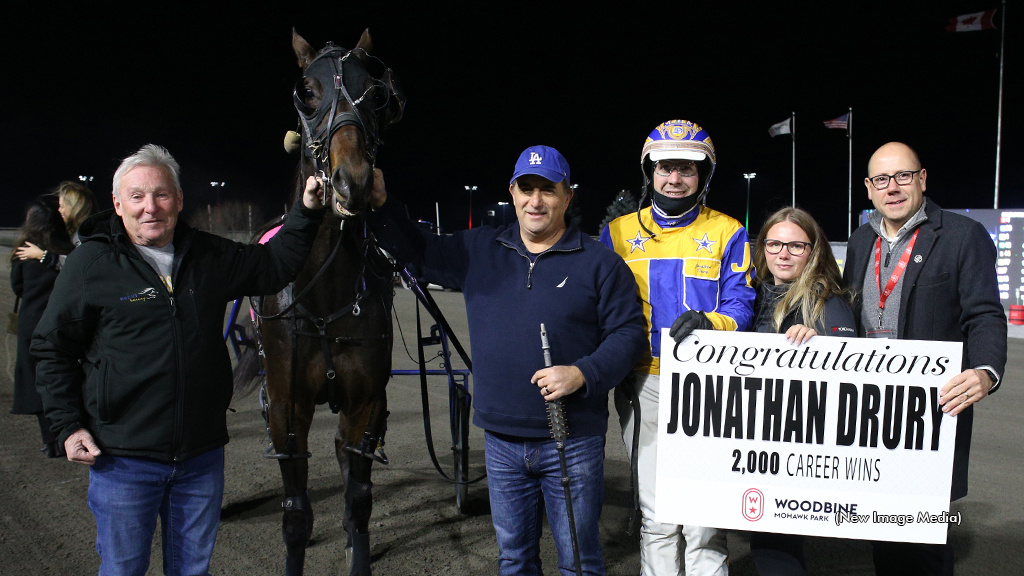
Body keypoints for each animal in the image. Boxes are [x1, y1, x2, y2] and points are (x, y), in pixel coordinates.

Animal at [239, 29, 403, 573]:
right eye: (306, 92)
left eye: (375, 93)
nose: (354, 182)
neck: (327, 294)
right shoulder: (287, 409)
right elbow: (295, 512)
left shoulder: (366, 401)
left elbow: (359, 497)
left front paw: (358, 548)